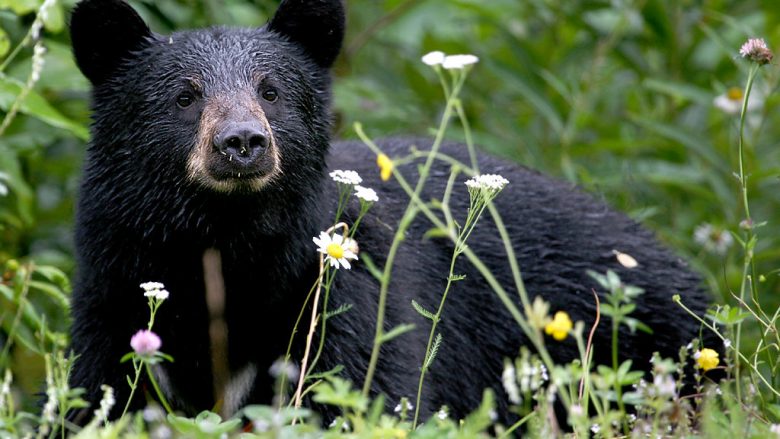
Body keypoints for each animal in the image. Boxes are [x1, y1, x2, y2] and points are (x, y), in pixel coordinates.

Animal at [67, 0, 712, 426]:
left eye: (272, 91)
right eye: (185, 96)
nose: (243, 142)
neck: (225, 245)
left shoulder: (341, 295)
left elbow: (365, 387)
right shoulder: (113, 290)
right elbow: (99, 393)